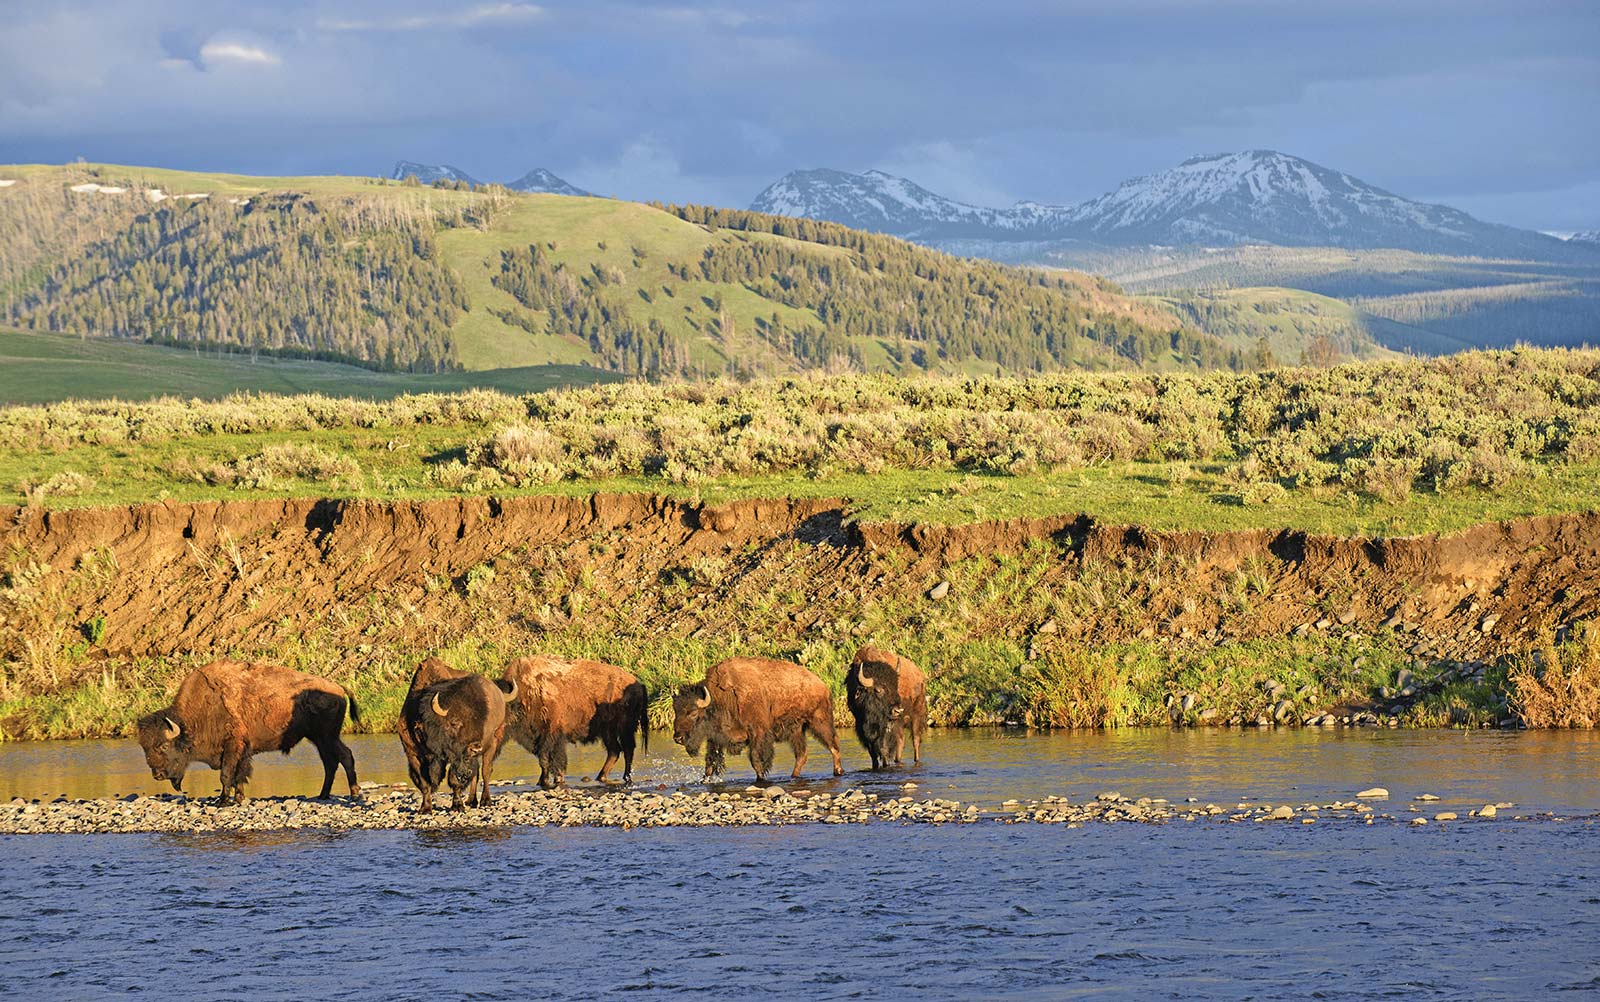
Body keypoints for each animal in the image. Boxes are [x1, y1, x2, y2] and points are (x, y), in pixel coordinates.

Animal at [133, 656, 360, 803]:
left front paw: (223, 801)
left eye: (163, 745)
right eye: (144, 747)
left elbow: (227, 775)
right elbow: (238, 775)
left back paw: (354, 793)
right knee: (331, 763)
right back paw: (324, 795)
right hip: (319, 738)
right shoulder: (242, 749)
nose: (157, 775)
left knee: (344, 756)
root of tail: (338, 688)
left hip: (327, 736)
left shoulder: (232, 746)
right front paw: (239, 798)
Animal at [395, 656, 512, 813]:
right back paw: (472, 801)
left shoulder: (454, 758)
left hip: (492, 743)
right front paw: (425, 808)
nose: (476, 746)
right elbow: (424, 783)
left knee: (485, 771)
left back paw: (485, 801)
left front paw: (457, 806)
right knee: (475, 773)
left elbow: (454, 780)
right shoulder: (412, 755)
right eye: (454, 723)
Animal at [502, 656, 646, 787]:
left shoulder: (551, 734)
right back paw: (601, 777)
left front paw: (551, 780)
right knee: (614, 751)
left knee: (627, 749)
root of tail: (638, 684)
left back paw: (626, 777)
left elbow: (548, 758)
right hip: (607, 731)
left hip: (624, 727)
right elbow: (545, 759)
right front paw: (545, 781)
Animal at [668, 656, 844, 781]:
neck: (722, 698)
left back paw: (838, 771)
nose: (678, 738)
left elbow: (756, 759)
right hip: (797, 731)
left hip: (819, 722)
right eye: (676, 711)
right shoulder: (716, 737)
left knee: (833, 744)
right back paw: (794, 776)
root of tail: (822, 684)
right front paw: (705, 779)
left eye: (693, 712)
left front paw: (761, 779)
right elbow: (710, 762)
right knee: (801, 755)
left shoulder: (758, 733)